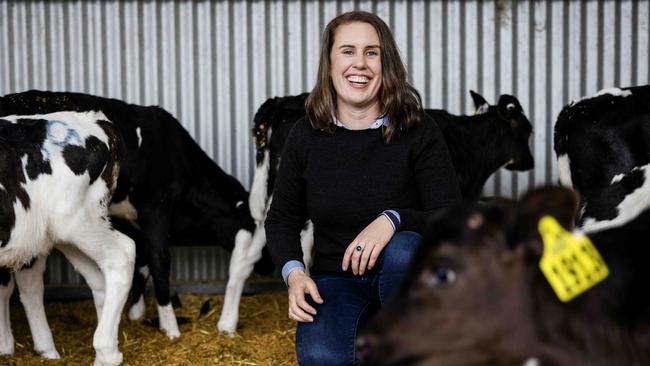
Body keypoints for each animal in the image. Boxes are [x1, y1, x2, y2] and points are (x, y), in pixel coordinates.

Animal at [0, 111, 134, 366]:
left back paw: (107, 351)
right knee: (96, 278)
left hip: (77, 221)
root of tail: (95, 119)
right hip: (60, 234)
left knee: (123, 253)